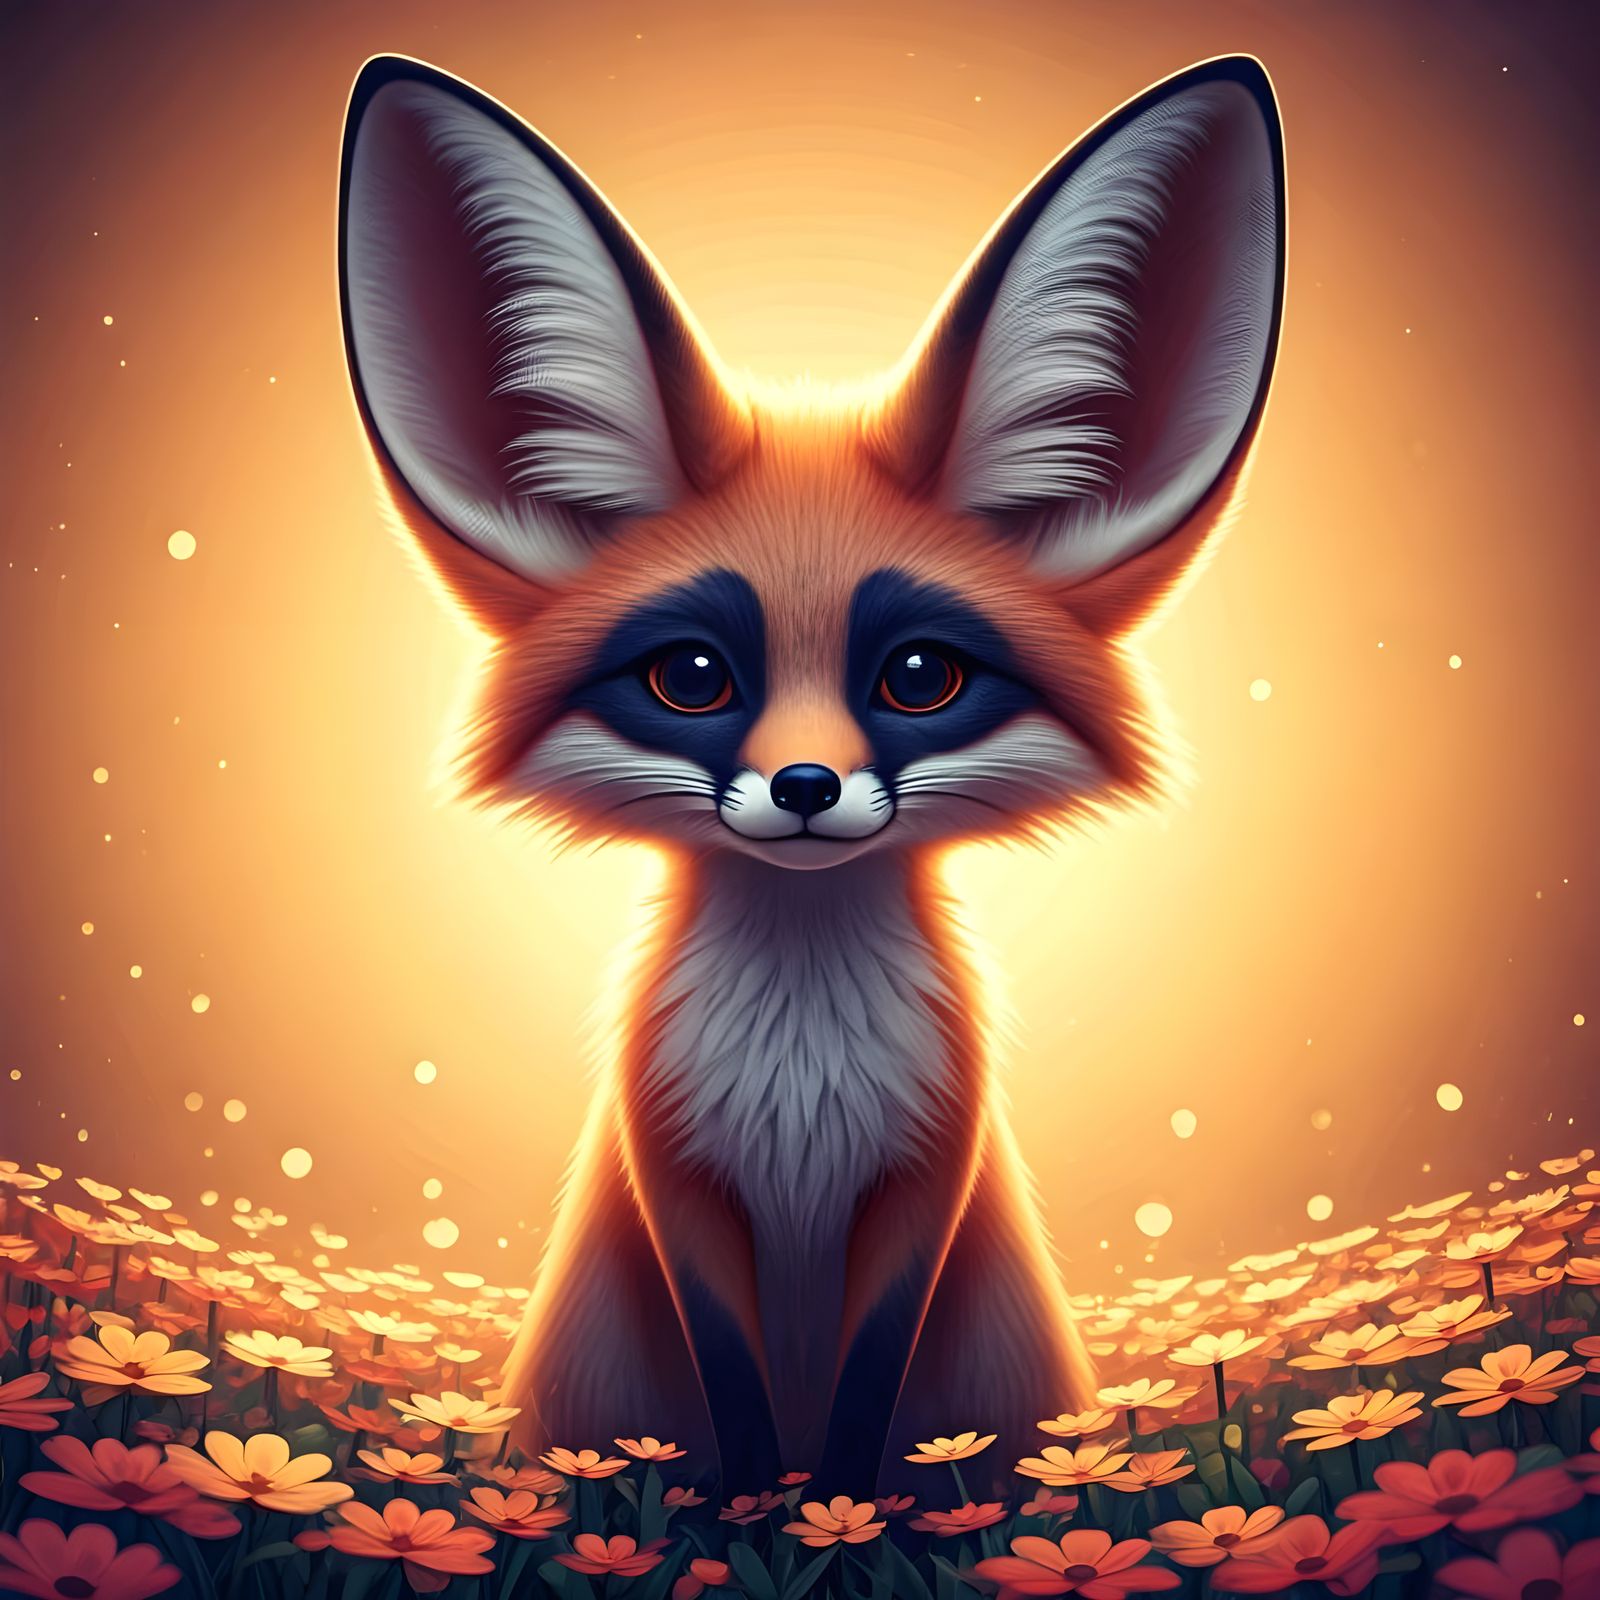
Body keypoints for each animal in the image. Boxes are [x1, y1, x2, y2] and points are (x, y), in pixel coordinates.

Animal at [336, 52, 1285, 1493]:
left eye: (918, 677)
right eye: (691, 677)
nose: (800, 789)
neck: (801, 1069)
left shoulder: (925, 1180)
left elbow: (866, 1400)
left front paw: (841, 1508)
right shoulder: (672, 1178)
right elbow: (732, 1396)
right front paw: (754, 1511)